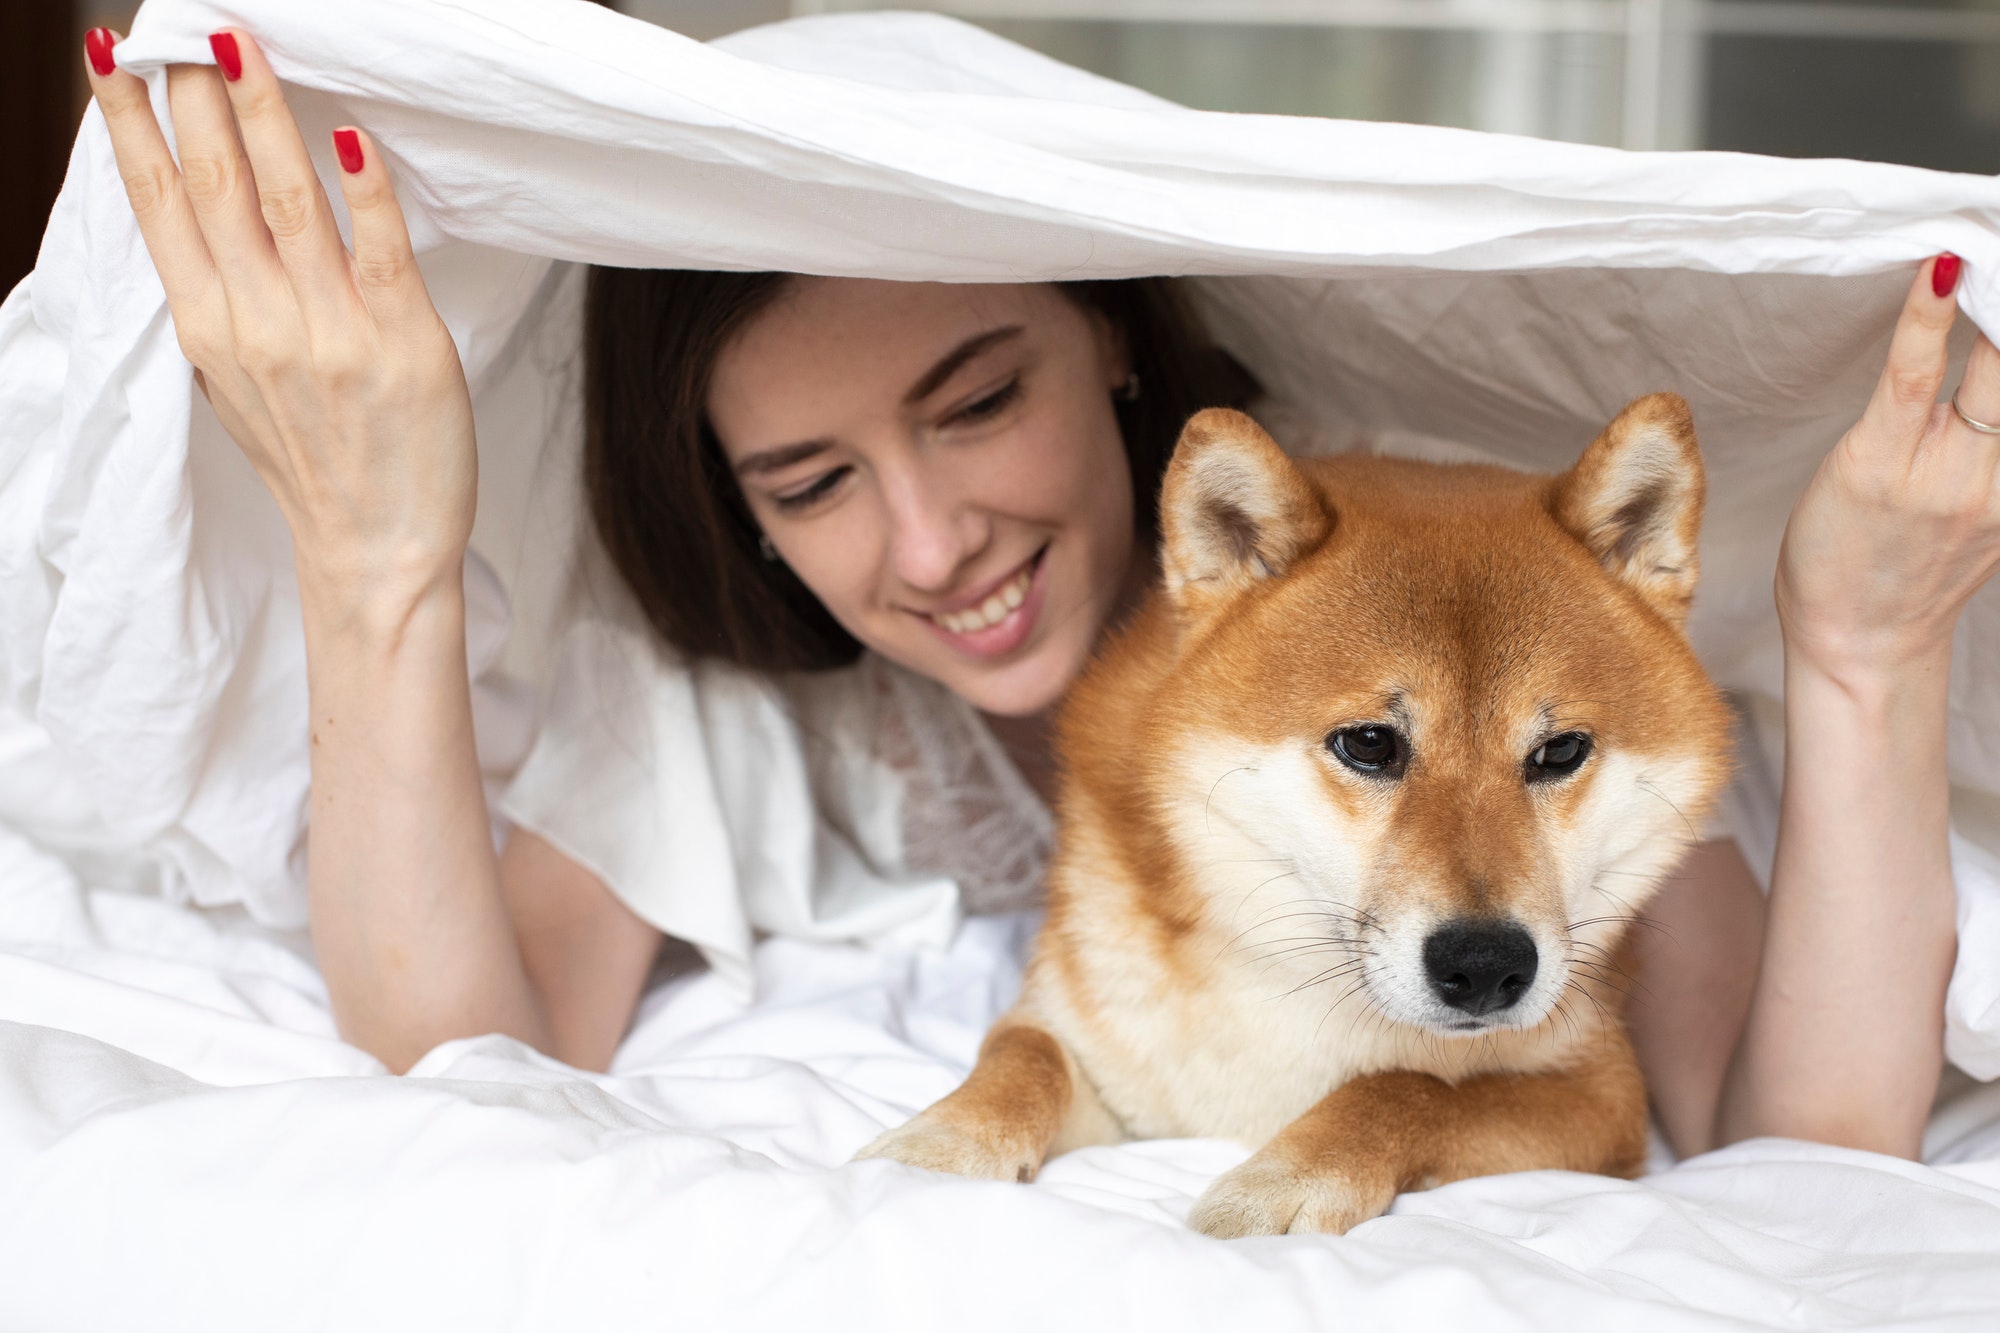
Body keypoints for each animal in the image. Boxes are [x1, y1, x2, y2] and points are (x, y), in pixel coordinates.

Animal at [860, 394, 1736, 1232]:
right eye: (1370, 743)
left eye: (1559, 752)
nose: (1487, 964)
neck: (1293, 985)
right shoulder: (1093, 1045)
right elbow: (1020, 1061)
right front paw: (941, 1143)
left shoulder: (1602, 1093)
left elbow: (1408, 1087)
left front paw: (1286, 1177)